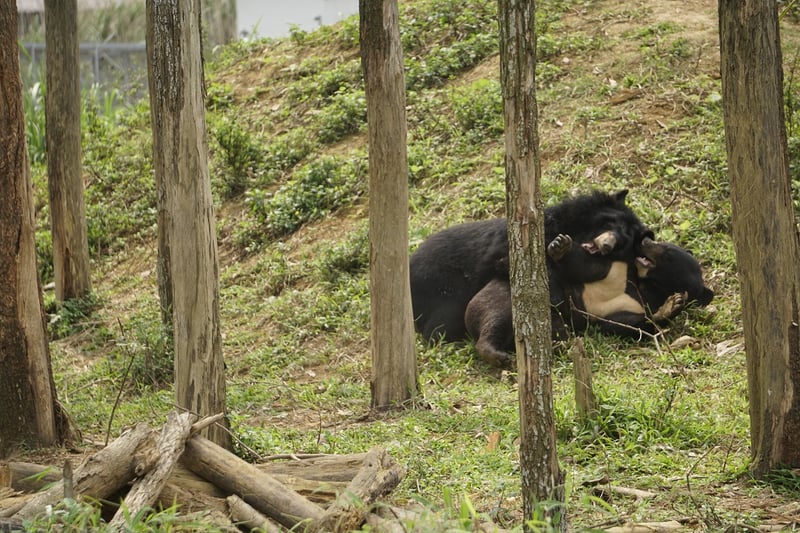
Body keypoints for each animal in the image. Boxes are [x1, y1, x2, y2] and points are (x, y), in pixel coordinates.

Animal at [409, 189, 651, 344]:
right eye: (610, 223)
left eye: (622, 243)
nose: (607, 245)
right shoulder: (512, 247)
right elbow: (514, 266)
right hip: (443, 290)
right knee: (440, 327)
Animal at [463, 235, 714, 366]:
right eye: (661, 243)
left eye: (668, 253)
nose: (644, 241)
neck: (646, 286)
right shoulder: (617, 270)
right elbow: (585, 266)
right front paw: (560, 245)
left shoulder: (632, 306)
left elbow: (625, 324)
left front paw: (673, 304)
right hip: (499, 298)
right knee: (495, 320)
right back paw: (499, 355)